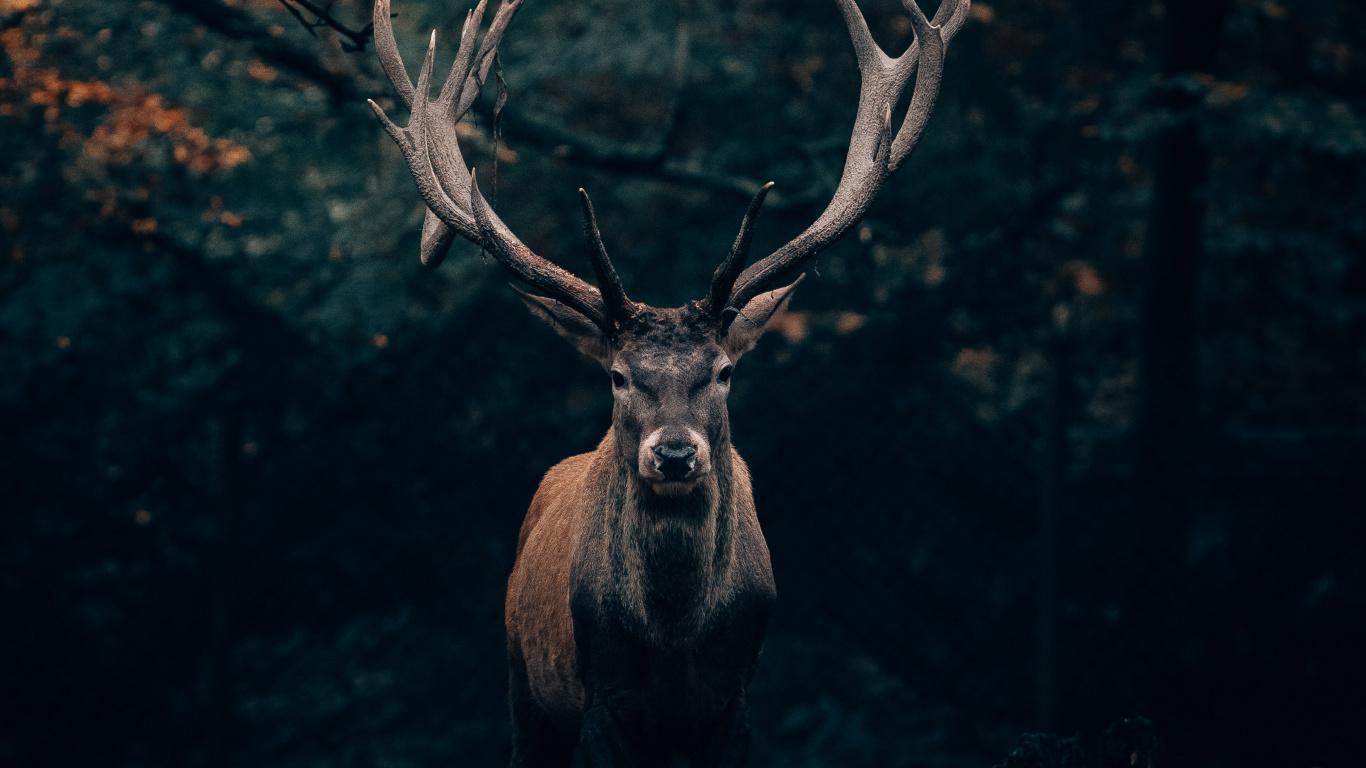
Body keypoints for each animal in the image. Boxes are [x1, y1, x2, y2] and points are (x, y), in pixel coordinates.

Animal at [366, 0, 970, 764]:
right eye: (618, 376)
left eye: (724, 371)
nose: (676, 453)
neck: (676, 646)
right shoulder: (601, 700)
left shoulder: (735, 702)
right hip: (523, 686)